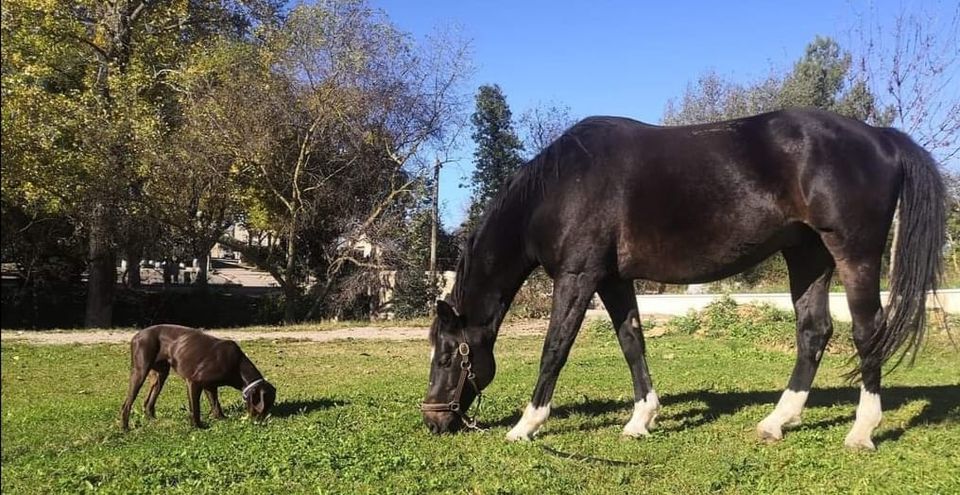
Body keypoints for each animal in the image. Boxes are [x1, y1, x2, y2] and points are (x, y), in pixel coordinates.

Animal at [121, 326, 274, 430]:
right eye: (265, 406)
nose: (261, 422)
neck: (237, 365)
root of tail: (136, 336)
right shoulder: (194, 382)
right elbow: (195, 408)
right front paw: (198, 427)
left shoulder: (210, 386)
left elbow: (216, 404)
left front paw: (222, 419)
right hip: (140, 371)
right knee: (126, 404)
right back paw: (125, 428)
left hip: (160, 375)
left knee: (148, 402)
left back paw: (152, 420)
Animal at [422, 108, 944, 450]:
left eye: (448, 355)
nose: (433, 421)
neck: (561, 186)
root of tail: (880, 137)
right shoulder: (612, 280)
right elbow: (632, 342)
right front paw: (641, 420)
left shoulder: (577, 276)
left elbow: (555, 349)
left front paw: (526, 426)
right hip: (808, 255)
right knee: (814, 332)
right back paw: (777, 422)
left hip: (853, 254)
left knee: (867, 332)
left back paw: (861, 431)